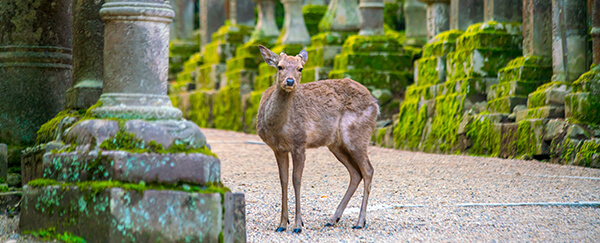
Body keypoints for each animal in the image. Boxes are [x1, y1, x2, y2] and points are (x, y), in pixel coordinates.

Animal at [255, 45, 378, 234]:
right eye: (280, 66)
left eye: (300, 68)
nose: (290, 81)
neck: (278, 128)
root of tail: (376, 104)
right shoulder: (277, 148)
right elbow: (283, 180)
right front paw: (282, 224)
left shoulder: (300, 142)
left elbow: (296, 180)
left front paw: (298, 225)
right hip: (336, 144)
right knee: (355, 173)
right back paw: (333, 219)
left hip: (357, 135)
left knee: (368, 170)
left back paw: (359, 221)